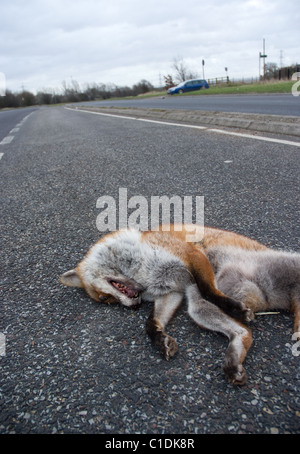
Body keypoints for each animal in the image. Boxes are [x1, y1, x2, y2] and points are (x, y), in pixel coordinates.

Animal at [59, 225, 298, 384]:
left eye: (103, 298)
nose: (133, 306)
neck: (139, 271)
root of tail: (267, 298)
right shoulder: (172, 291)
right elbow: (151, 323)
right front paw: (160, 340)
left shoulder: (191, 255)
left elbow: (210, 291)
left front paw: (235, 308)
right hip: (198, 308)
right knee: (245, 333)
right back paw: (233, 363)